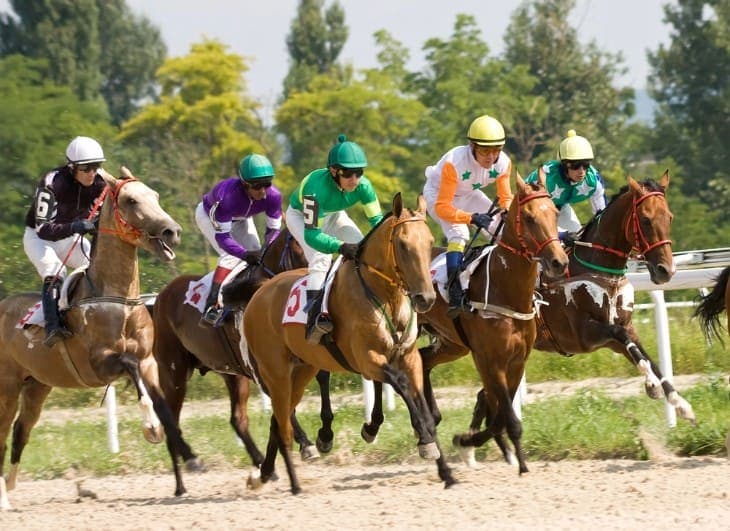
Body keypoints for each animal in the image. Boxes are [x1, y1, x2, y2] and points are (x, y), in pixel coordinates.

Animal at [0, 167, 184, 510]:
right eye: (131, 200)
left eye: (155, 196)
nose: (172, 231)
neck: (118, 299)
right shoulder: (98, 365)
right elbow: (130, 367)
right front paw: (150, 428)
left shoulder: (149, 361)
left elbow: (160, 400)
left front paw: (186, 453)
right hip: (7, 386)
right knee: (3, 433)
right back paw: (4, 498)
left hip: (37, 385)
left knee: (21, 431)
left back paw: (10, 485)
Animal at [151, 227, 321, 497]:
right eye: (298, 248)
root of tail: (160, 298)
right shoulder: (262, 369)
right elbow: (284, 407)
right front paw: (305, 444)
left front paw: (302, 447)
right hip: (174, 373)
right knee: (171, 420)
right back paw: (183, 479)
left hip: (232, 374)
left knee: (237, 419)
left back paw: (261, 464)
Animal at [241, 193, 453, 494]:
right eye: (402, 244)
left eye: (429, 242)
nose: (426, 298)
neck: (385, 296)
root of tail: (259, 292)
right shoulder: (367, 359)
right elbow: (401, 385)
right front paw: (422, 439)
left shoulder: (409, 358)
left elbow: (420, 403)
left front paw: (444, 469)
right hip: (275, 372)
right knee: (282, 423)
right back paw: (293, 482)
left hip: (301, 371)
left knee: (278, 420)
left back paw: (264, 474)